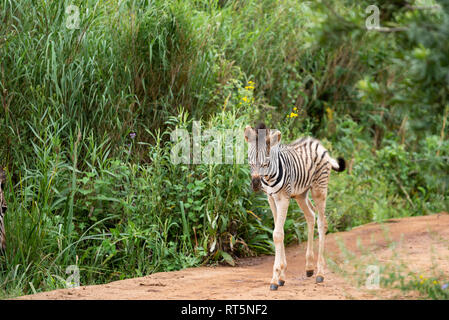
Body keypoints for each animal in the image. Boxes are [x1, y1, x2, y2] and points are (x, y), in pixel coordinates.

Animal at [243, 122, 344, 290]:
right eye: (250, 161)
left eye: (266, 162)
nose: (256, 184)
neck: (269, 177)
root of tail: (316, 143)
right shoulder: (271, 198)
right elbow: (279, 232)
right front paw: (281, 276)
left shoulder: (283, 198)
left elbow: (277, 234)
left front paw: (275, 278)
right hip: (301, 194)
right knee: (311, 215)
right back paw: (309, 267)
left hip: (319, 189)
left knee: (322, 223)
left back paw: (320, 273)